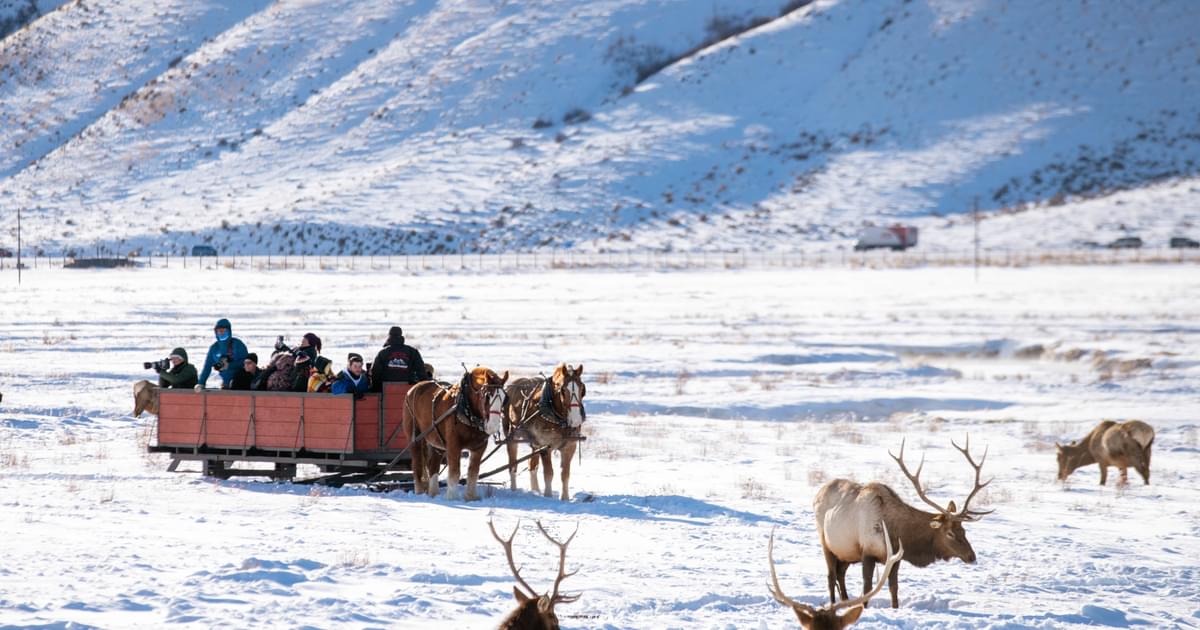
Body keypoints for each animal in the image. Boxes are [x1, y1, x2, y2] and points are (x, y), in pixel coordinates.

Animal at [813, 435, 992, 608]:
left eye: (964, 531)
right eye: (950, 533)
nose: (971, 556)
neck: (896, 533)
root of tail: (818, 493)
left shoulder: (896, 558)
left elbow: (894, 588)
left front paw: (895, 608)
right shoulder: (867, 552)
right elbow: (867, 588)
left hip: (846, 552)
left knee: (840, 574)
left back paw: (844, 600)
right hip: (826, 542)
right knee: (831, 576)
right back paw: (834, 604)